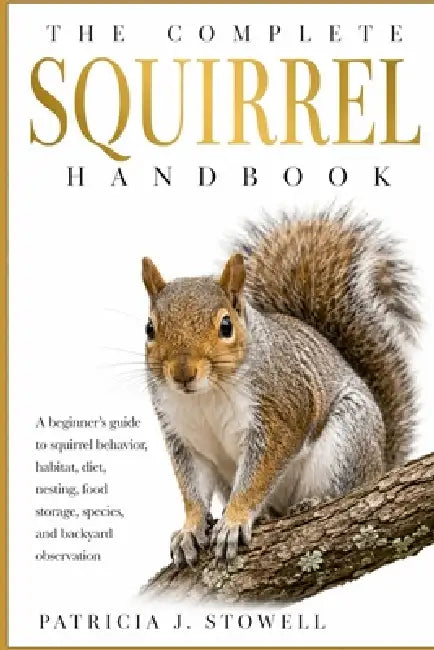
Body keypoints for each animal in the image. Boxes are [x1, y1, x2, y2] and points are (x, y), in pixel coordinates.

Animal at [141, 206, 420, 565]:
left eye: (226, 326)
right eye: (149, 328)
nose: (182, 373)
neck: (206, 396)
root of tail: (380, 466)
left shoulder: (282, 411)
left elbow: (258, 476)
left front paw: (235, 520)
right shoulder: (183, 437)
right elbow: (192, 488)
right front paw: (190, 528)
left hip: (347, 440)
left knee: (344, 486)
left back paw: (317, 502)